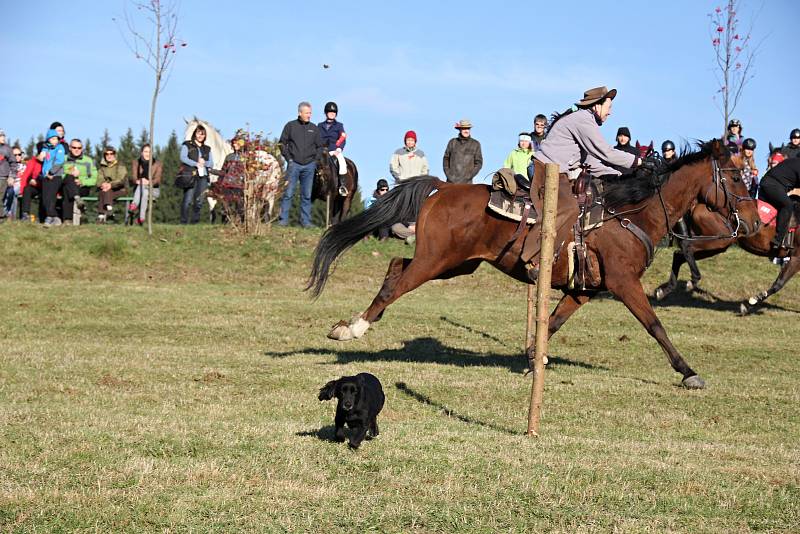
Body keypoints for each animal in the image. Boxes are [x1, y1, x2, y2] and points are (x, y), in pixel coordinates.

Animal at [310, 140, 760, 392]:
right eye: (737, 177)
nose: (755, 222)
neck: (631, 211)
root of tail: (442, 186)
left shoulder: (583, 290)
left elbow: (554, 322)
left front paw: (531, 359)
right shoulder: (623, 282)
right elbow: (655, 325)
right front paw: (689, 372)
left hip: (454, 263)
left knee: (394, 266)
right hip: (435, 261)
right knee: (397, 284)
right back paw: (351, 329)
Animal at [652, 192, 796, 316]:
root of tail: (697, 203)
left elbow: (780, 282)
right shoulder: (796, 257)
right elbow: (779, 283)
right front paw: (751, 302)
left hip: (714, 244)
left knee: (679, 254)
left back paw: (665, 290)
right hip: (718, 240)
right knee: (685, 247)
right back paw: (690, 281)